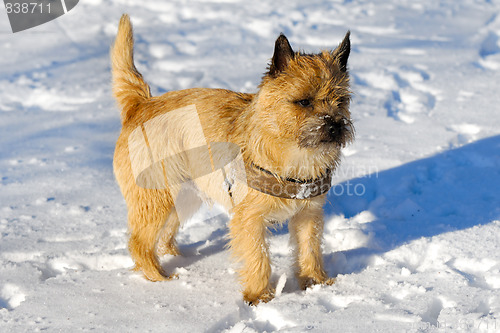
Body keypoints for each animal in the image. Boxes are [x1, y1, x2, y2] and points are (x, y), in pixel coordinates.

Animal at [111, 13, 354, 304]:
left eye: (341, 100)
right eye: (304, 101)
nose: (335, 126)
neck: (294, 157)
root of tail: (140, 104)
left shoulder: (309, 214)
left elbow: (310, 249)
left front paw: (315, 282)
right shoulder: (250, 219)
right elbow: (259, 256)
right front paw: (259, 297)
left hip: (184, 196)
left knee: (164, 235)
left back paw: (179, 258)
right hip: (156, 198)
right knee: (139, 242)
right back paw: (159, 277)